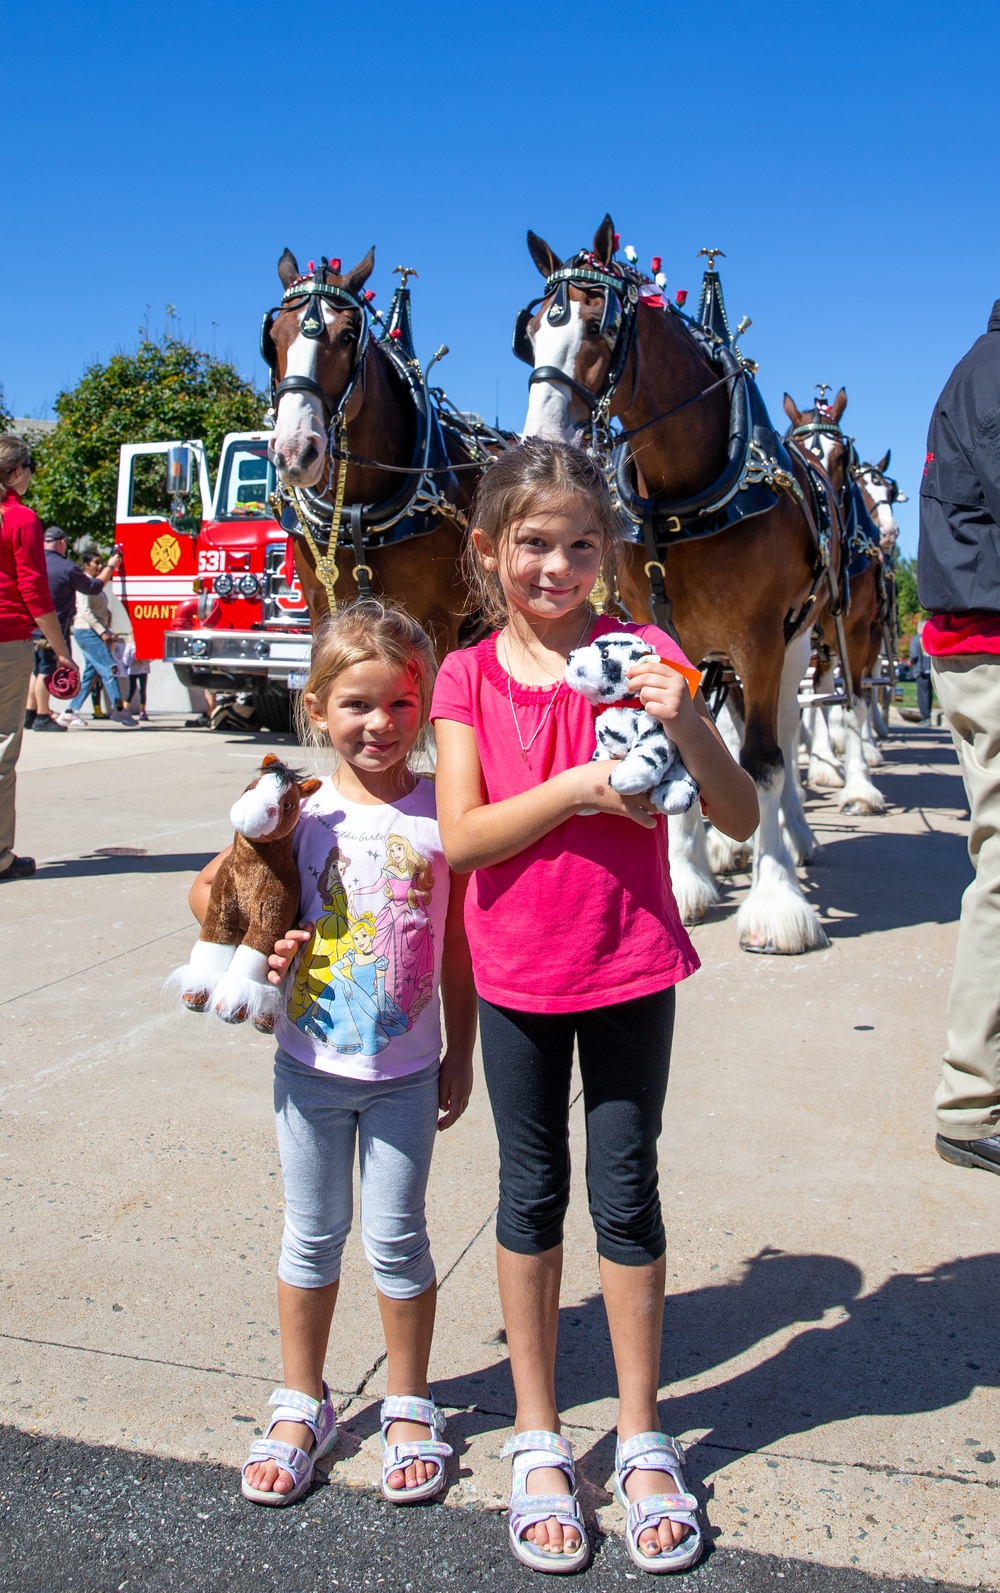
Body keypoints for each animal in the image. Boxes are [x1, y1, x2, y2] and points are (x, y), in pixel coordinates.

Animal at [515, 218, 828, 949]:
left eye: (597, 325)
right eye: (530, 332)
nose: (539, 443)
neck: (688, 497)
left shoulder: (761, 640)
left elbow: (765, 759)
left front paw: (776, 900)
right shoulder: (662, 630)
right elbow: (685, 731)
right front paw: (687, 877)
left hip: (793, 644)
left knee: (783, 732)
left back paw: (792, 837)